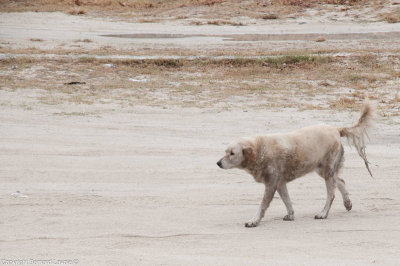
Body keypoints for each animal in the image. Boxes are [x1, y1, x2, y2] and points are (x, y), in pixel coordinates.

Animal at [217, 101, 374, 228]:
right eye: (225, 151)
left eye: (232, 153)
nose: (218, 163)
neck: (261, 149)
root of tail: (336, 129)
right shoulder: (280, 184)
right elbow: (287, 201)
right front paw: (291, 215)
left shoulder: (271, 184)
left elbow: (262, 206)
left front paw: (254, 221)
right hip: (323, 170)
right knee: (340, 181)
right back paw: (347, 203)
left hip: (327, 170)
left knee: (331, 194)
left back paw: (323, 213)